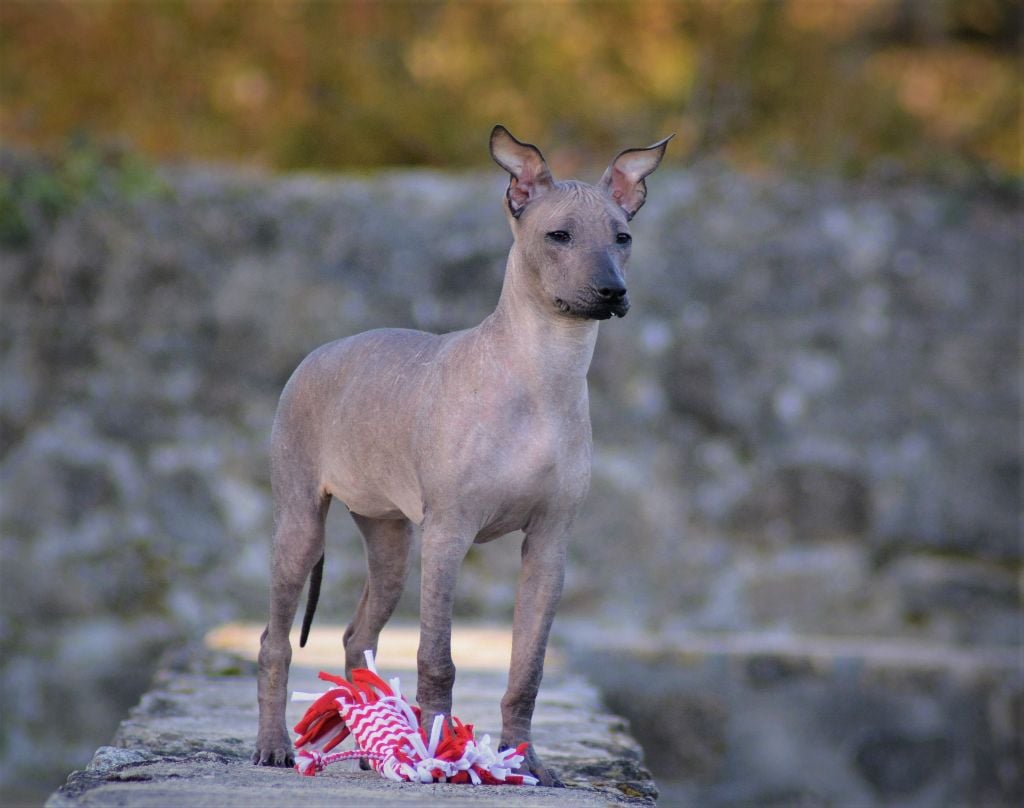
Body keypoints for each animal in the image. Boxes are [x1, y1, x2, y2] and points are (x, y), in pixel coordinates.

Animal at [253, 125, 671, 786]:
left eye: (622, 238)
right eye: (558, 236)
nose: (613, 291)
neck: (543, 377)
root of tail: (316, 354)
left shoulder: (549, 546)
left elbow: (528, 670)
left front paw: (525, 763)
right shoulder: (449, 534)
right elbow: (437, 659)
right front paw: (438, 758)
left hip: (392, 545)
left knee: (356, 636)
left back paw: (375, 748)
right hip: (301, 526)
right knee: (274, 640)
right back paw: (275, 746)